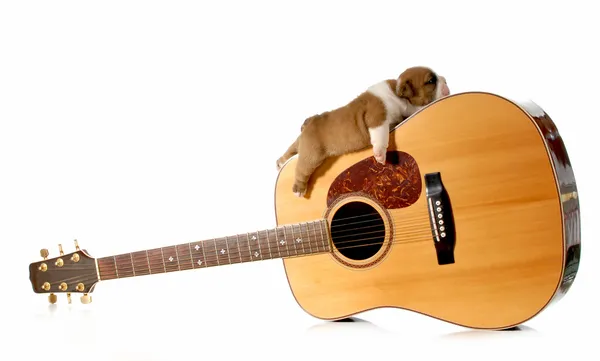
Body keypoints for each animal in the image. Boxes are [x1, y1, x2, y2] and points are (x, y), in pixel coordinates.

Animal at [276, 64, 450, 197]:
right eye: (431, 81)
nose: (445, 80)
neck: (397, 94)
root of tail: (309, 122)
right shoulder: (377, 116)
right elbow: (381, 135)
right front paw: (380, 155)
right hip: (312, 154)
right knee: (302, 169)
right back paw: (298, 189)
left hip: (302, 143)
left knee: (290, 151)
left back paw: (280, 163)